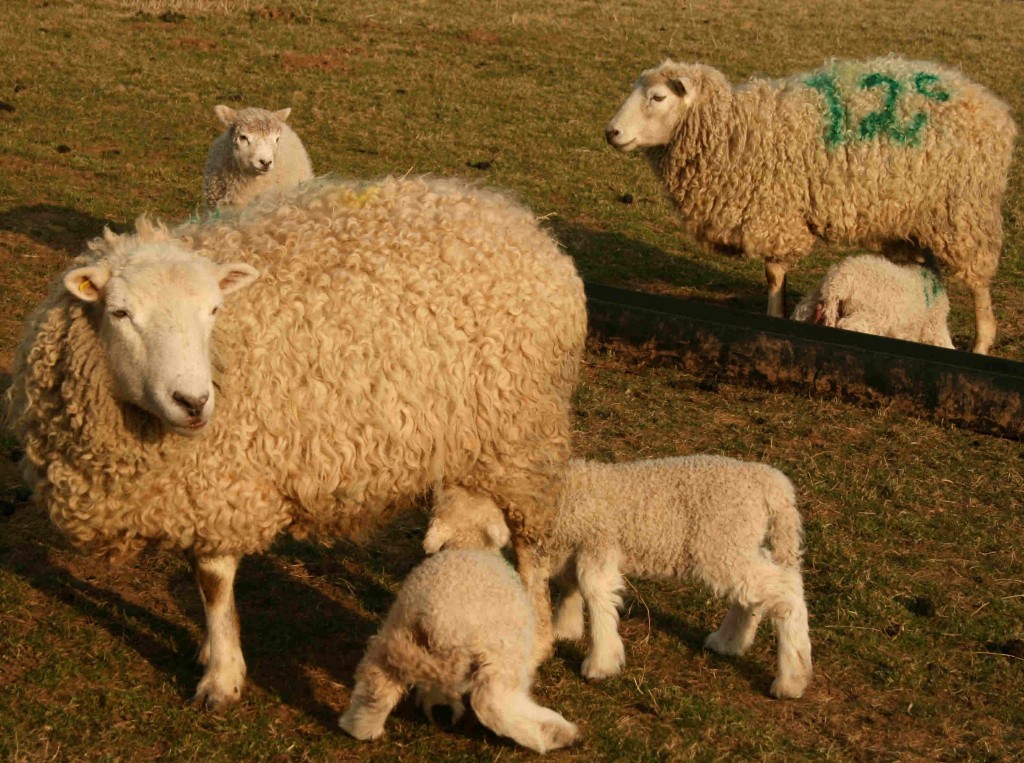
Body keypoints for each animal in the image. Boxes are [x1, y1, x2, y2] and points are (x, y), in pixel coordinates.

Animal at [5, 175, 587, 711]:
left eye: (213, 311)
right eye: (121, 313)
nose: (193, 401)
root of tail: (523, 222)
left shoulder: (226, 481)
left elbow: (213, 582)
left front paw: (222, 676)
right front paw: (211, 652)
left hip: (524, 433)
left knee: (533, 543)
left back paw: (536, 636)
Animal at [339, 549, 579, 753]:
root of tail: (433, 622)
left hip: (395, 641)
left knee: (376, 685)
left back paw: (360, 727)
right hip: (500, 656)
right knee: (494, 704)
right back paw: (558, 734)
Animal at [424, 455, 812, 699]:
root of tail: (772, 483)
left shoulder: (598, 542)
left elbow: (595, 590)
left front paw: (600, 661)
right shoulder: (577, 546)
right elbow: (572, 585)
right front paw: (566, 627)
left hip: (721, 542)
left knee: (785, 591)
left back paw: (791, 679)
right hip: (736, 544)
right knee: (759, 585)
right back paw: (731, 640)